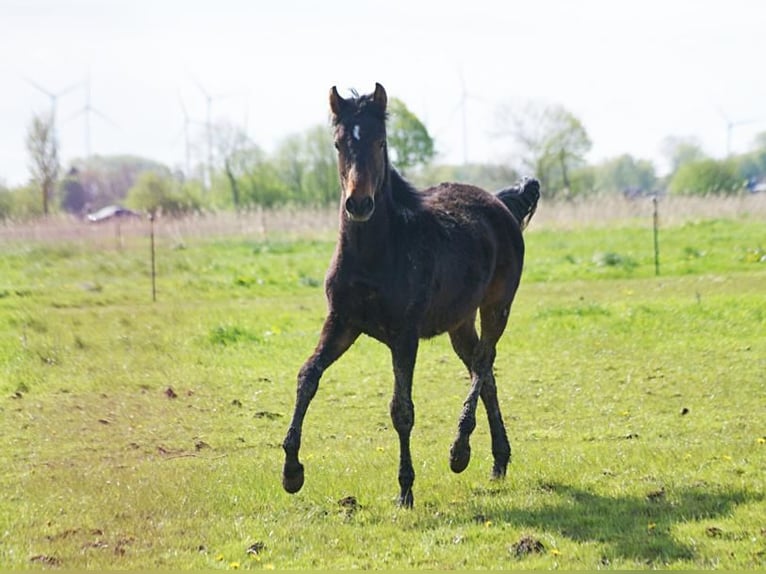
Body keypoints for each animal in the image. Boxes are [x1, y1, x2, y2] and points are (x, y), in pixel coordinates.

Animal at [282, 82, 540, 508]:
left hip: (497, 306)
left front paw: (405, 488)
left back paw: (460, 451)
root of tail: (501, 203)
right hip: (459, 321)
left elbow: (401, 409)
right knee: (484, 372)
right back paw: (498, 460)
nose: (359, 203)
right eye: (338, 143)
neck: (375, 253)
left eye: (381, 141)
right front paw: (291, 471)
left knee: (483, 363)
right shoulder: (342, 323)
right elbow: (308, 377)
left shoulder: (404, 335)